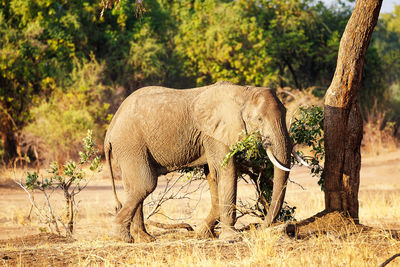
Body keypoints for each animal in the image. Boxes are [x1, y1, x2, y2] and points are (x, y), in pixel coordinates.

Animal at [104, 81, 294, 243]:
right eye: (259, 119)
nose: (260, 227)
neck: (243, 92)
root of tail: (111, 128)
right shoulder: (215, 133)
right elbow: (226, 171)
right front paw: (230, 237)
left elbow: (212, 174)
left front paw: (203, 233)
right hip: (131, 144)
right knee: (145, 184)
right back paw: (121, 236)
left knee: (133, 187)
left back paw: (144, 238)